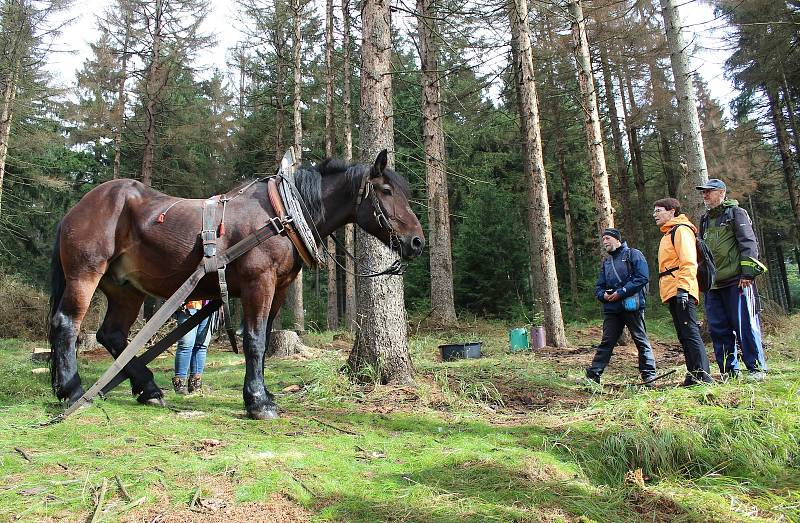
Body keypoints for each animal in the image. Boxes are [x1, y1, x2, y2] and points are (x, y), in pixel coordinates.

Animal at [48, 151, 424, 422]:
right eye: (386, 191)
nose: (417, 242)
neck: (283, 215)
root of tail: (75, 210)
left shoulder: (280, 288)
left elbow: (266, 339)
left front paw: (264, 394)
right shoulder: (260, 282)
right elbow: (255, 341)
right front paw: (257, 403)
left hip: (126, 288)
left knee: (111, 335)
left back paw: (148, 389)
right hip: (85, 273)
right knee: (66, 325)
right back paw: (73, 390)